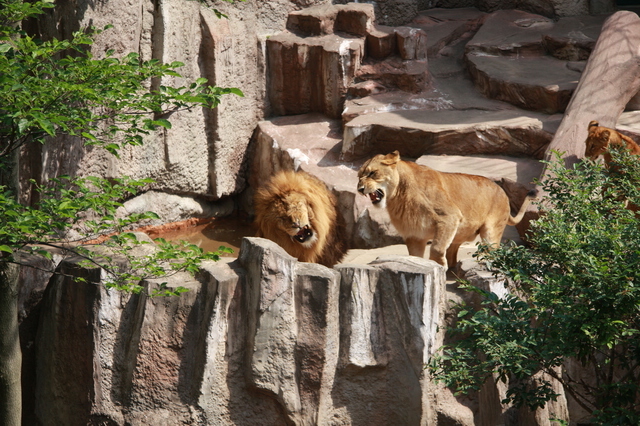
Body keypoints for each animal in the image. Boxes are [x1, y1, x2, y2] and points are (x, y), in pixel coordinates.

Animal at [358, 151, 536, 268]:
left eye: (372, 173)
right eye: (359, 176)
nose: (359, 189)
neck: (399, 195)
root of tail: (503, 192)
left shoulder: (449, 217)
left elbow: (436, 247)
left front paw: (439, 265)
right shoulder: (414, 234)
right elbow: (415, 256)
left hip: (491, 232)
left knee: (492, 251)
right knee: (453, 251)